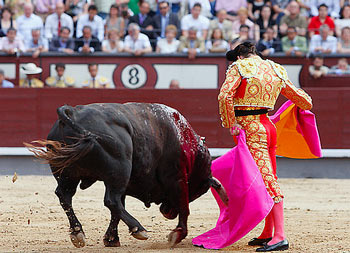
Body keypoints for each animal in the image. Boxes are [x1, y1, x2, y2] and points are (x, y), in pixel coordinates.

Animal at [28, 102, 230, 247]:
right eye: (198, 190)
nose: (167, 212)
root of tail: (72, 112)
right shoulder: (177, 178)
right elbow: (184, 207)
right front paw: (177, 234)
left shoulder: (126, 184)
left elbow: (117, 210)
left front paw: (111, 239)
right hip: (120, 169)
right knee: (110, 200)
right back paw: (138, 228)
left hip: (70, 174)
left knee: (66, 196)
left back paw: (78, 233)